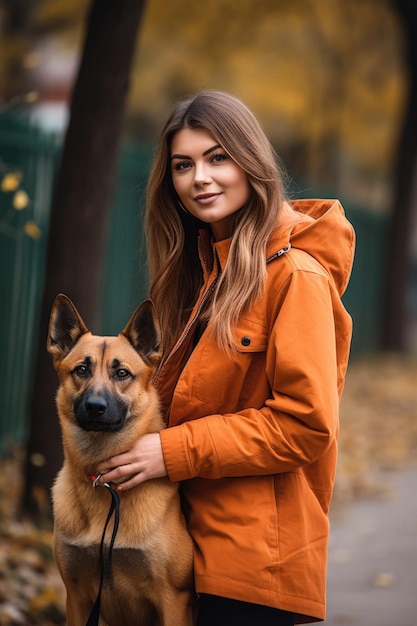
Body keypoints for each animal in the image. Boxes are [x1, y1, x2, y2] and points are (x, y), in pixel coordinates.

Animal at [46, 294, 196, 624]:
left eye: (122, 373)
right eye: (81, 370)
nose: (95, 406)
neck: (105, 485)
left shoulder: (174, 601)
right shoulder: (77, 598)